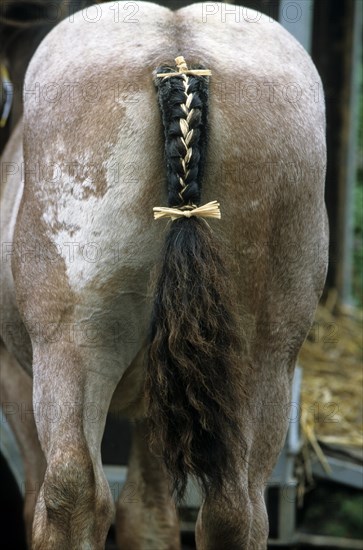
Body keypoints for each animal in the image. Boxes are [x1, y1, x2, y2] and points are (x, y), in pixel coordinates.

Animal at [0, 2, 330, 548]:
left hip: (72, 341)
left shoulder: (11, 371)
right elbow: (150, 518)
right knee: (236, 509)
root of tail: (181, 61)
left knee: (71, 491)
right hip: (264, 355)